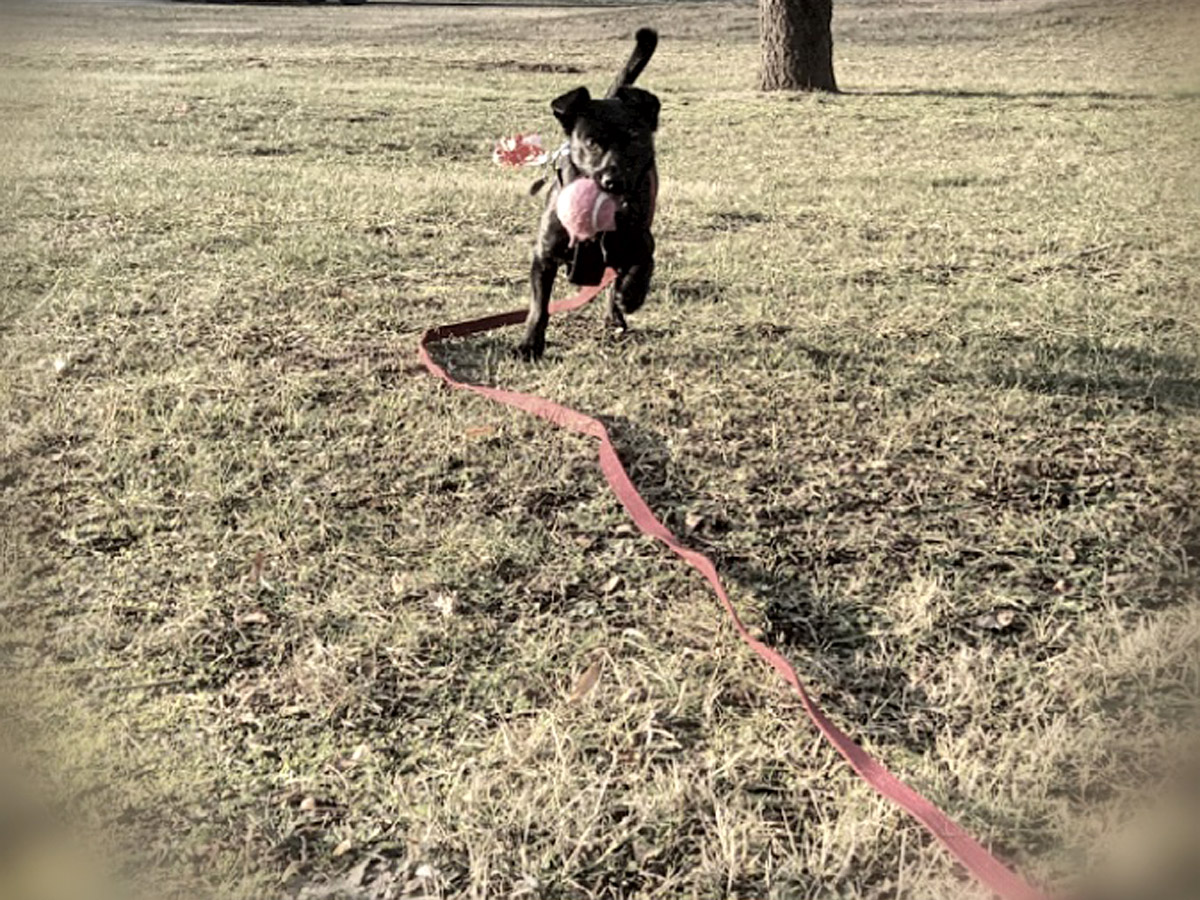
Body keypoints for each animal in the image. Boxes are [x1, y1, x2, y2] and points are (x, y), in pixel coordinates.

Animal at [516, 31, 662, 362]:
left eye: (634, 138)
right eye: (591, 142)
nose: (613, 181)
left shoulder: (642, 240)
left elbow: (642, 266)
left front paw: (630, 295)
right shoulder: (544, 255)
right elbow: (539, 307)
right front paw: (531, 344)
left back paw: (616, 312)